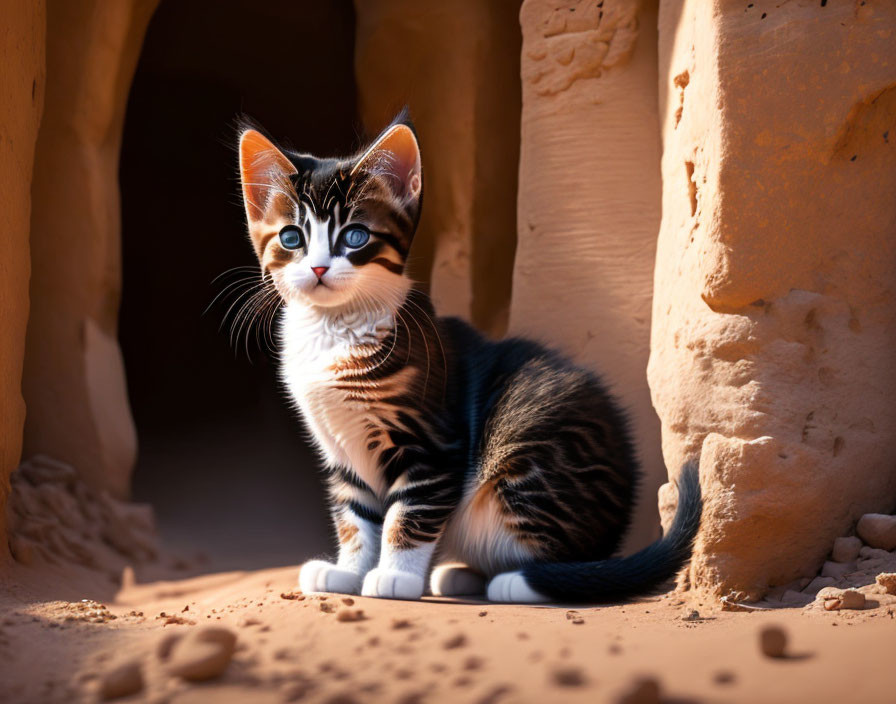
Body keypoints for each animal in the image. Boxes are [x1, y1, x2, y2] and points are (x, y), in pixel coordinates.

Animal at [233, 113, 700, 604]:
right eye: (291, 238)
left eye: (355, 236)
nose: (319, 269)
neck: (334, 329)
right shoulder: (345, 453)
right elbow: (356, 517)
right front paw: (348, 572)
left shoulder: (434, 444)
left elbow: (410, 512)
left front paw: (395, 577)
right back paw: (461, 575)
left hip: (534, 461)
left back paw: (515, 581)